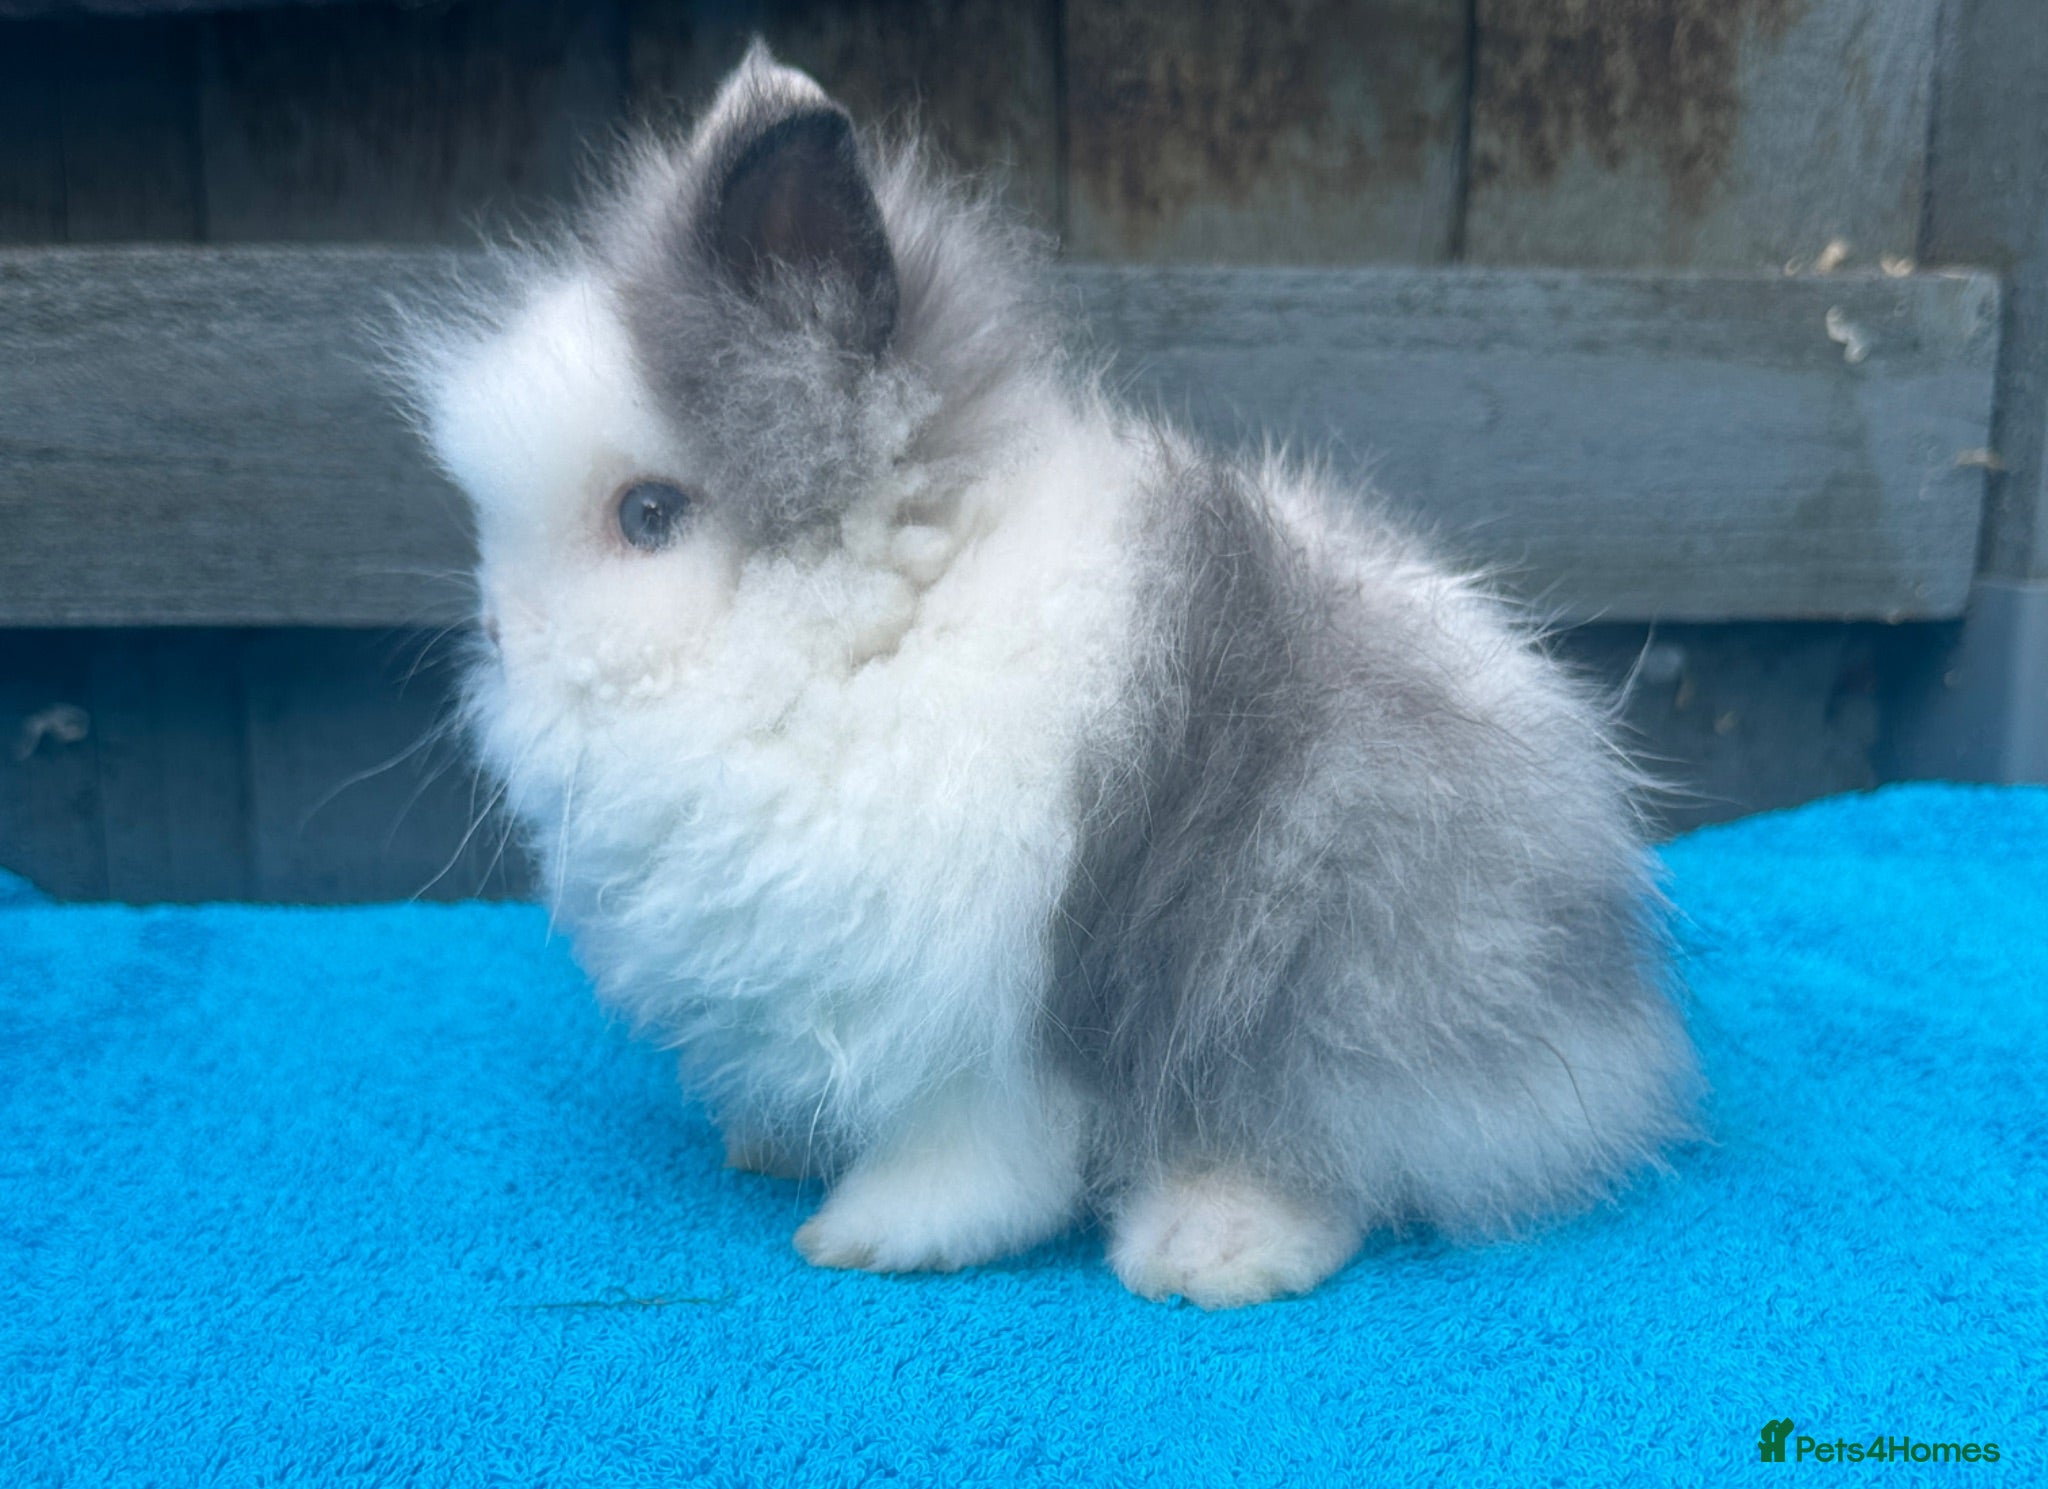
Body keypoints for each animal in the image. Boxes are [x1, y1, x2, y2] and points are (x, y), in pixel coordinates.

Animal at [400, 43, 1700, 1309]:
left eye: (648, 514)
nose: (498, 632)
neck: (864, 625)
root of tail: (1612, 1007)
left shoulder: (975, 1027)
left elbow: (977, 1161)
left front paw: (867, 1235)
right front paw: (767, 1145)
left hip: (1326, 978)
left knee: (1334, 1159)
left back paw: (1203, 1253)